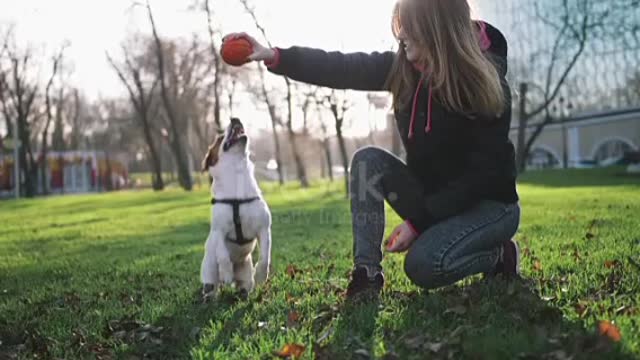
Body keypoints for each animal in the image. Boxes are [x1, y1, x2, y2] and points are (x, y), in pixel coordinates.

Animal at [200, 116, 270, 300]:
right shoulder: (218, 231)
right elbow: (223, 256)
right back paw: (211, 292)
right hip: (208, 268)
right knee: (212, 284)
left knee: (244, 285)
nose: (234, 118)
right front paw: (226, 273)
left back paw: (242, 291)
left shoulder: (264, 228)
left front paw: (261, 276)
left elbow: (265, 257)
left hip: (245, 273)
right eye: (219, 138)